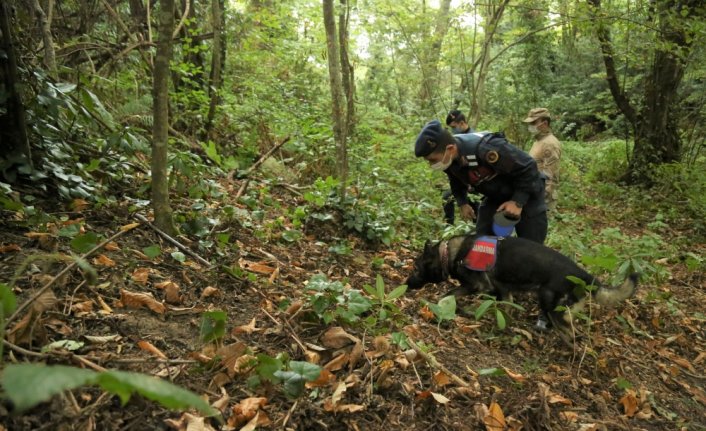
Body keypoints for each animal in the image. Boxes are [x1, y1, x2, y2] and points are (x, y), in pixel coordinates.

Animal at [402, 236, 640, 334]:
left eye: (416, 268)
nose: (406, 283)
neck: (450, 253)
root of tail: (584, 275)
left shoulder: (479, 286)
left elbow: (451, 292)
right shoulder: (503, 292)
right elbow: (501, 308)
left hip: (549, 303)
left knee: (571, 335)